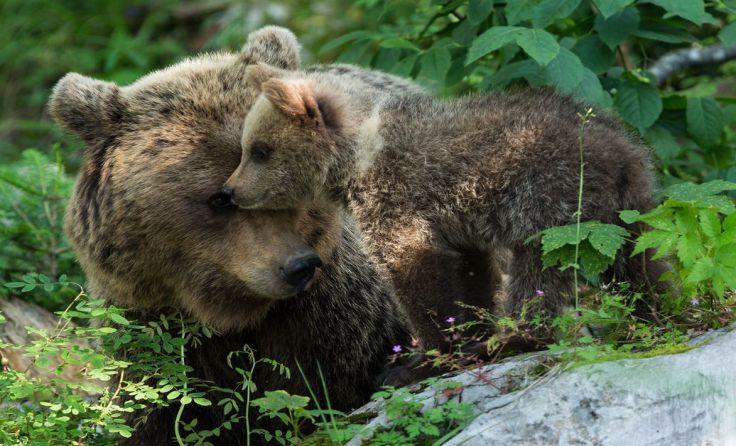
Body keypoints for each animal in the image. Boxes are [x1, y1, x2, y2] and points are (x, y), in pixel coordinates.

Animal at [49, 26, 412, 445]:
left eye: (288, 187)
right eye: (219, 198)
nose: (299, 266)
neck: (227, 314)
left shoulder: (336, 318)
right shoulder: (153, 333)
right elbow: (156, 414)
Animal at [222, 67, 666, 359]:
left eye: (260, 150)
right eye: (247, 147)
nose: (229, 190)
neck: (354, 158)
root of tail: (619, 149)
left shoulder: (395, 195)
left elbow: (413, 268)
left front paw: (432, 351)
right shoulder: (459, 221)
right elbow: (470, 271)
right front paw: (472, 331)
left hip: (550, 197)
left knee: (539, 270)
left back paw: (518, 337)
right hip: (629, 207)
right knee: (641, 262)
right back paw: (653, 315)